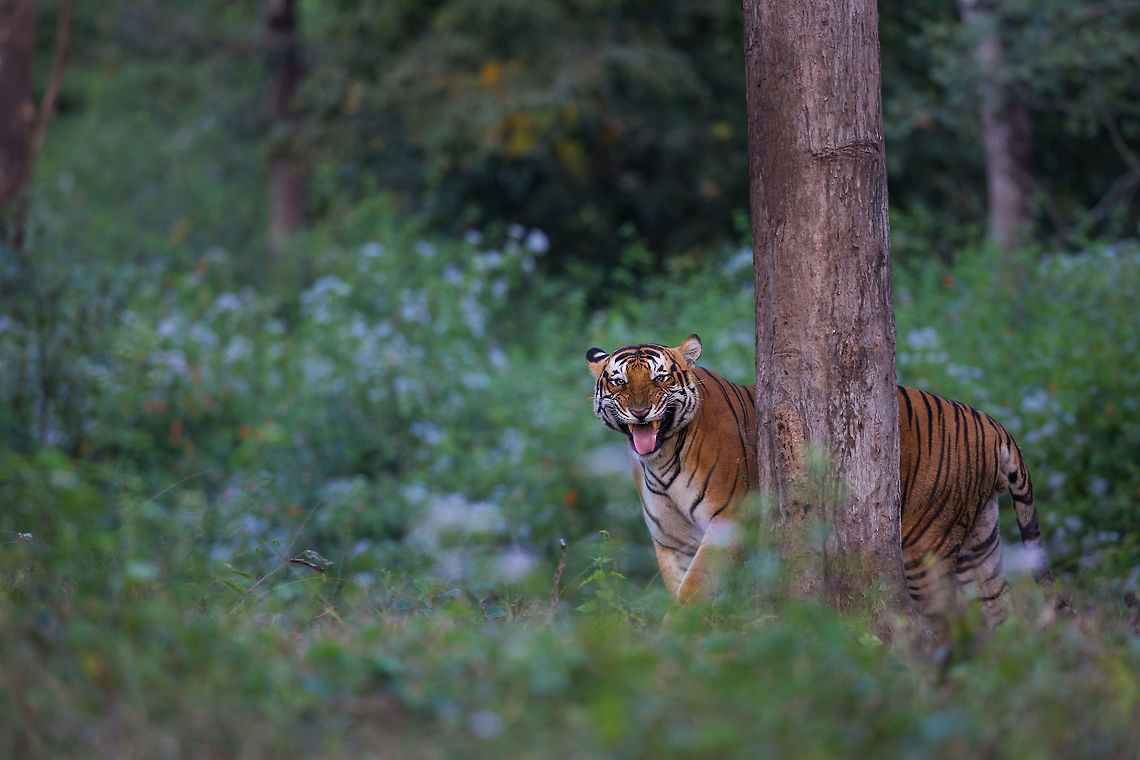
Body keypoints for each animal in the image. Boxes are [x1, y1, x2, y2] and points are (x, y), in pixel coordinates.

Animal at [586, 333, 1062, 622]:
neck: (661, 458)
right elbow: (684, 587)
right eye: (619, 382)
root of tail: (992, 424)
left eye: (661, 377)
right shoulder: (672, 541)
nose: (640, 412)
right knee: (1000, 615)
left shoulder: (729, 523)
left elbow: (694, 589)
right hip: (980, 544)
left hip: (925, 549)